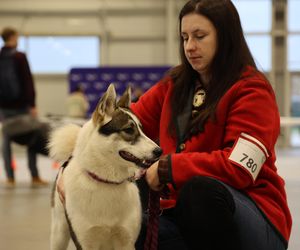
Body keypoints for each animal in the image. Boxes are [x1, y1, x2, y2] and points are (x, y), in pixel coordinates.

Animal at [49, 84, 162, 250]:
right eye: (129, 130)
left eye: (142, 129)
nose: (159, 151)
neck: (107, 181)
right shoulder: (85, 242)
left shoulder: (126, 241)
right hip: (59, 234)